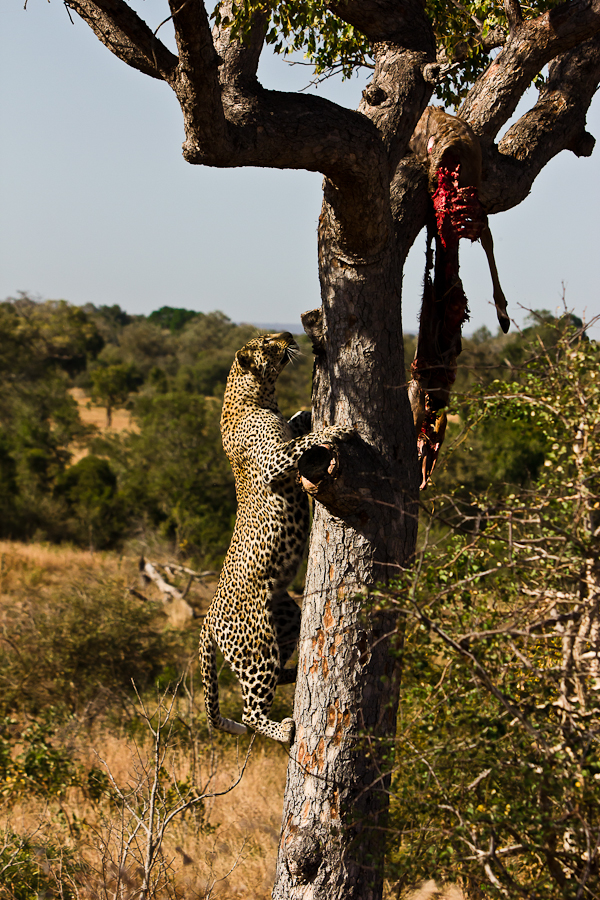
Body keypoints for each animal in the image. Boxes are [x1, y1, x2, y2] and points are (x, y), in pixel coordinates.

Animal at [198, 331, 353, 743]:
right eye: (267, 342)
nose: (287, 336)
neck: (258, 397)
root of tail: (207, 617)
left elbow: (297, 425)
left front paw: (307, 414)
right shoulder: (272, 462)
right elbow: (300, 444)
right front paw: (332, 430)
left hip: (285, 617)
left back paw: (295, 673)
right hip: (256, 646)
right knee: (249, 709)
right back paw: (282, 730)